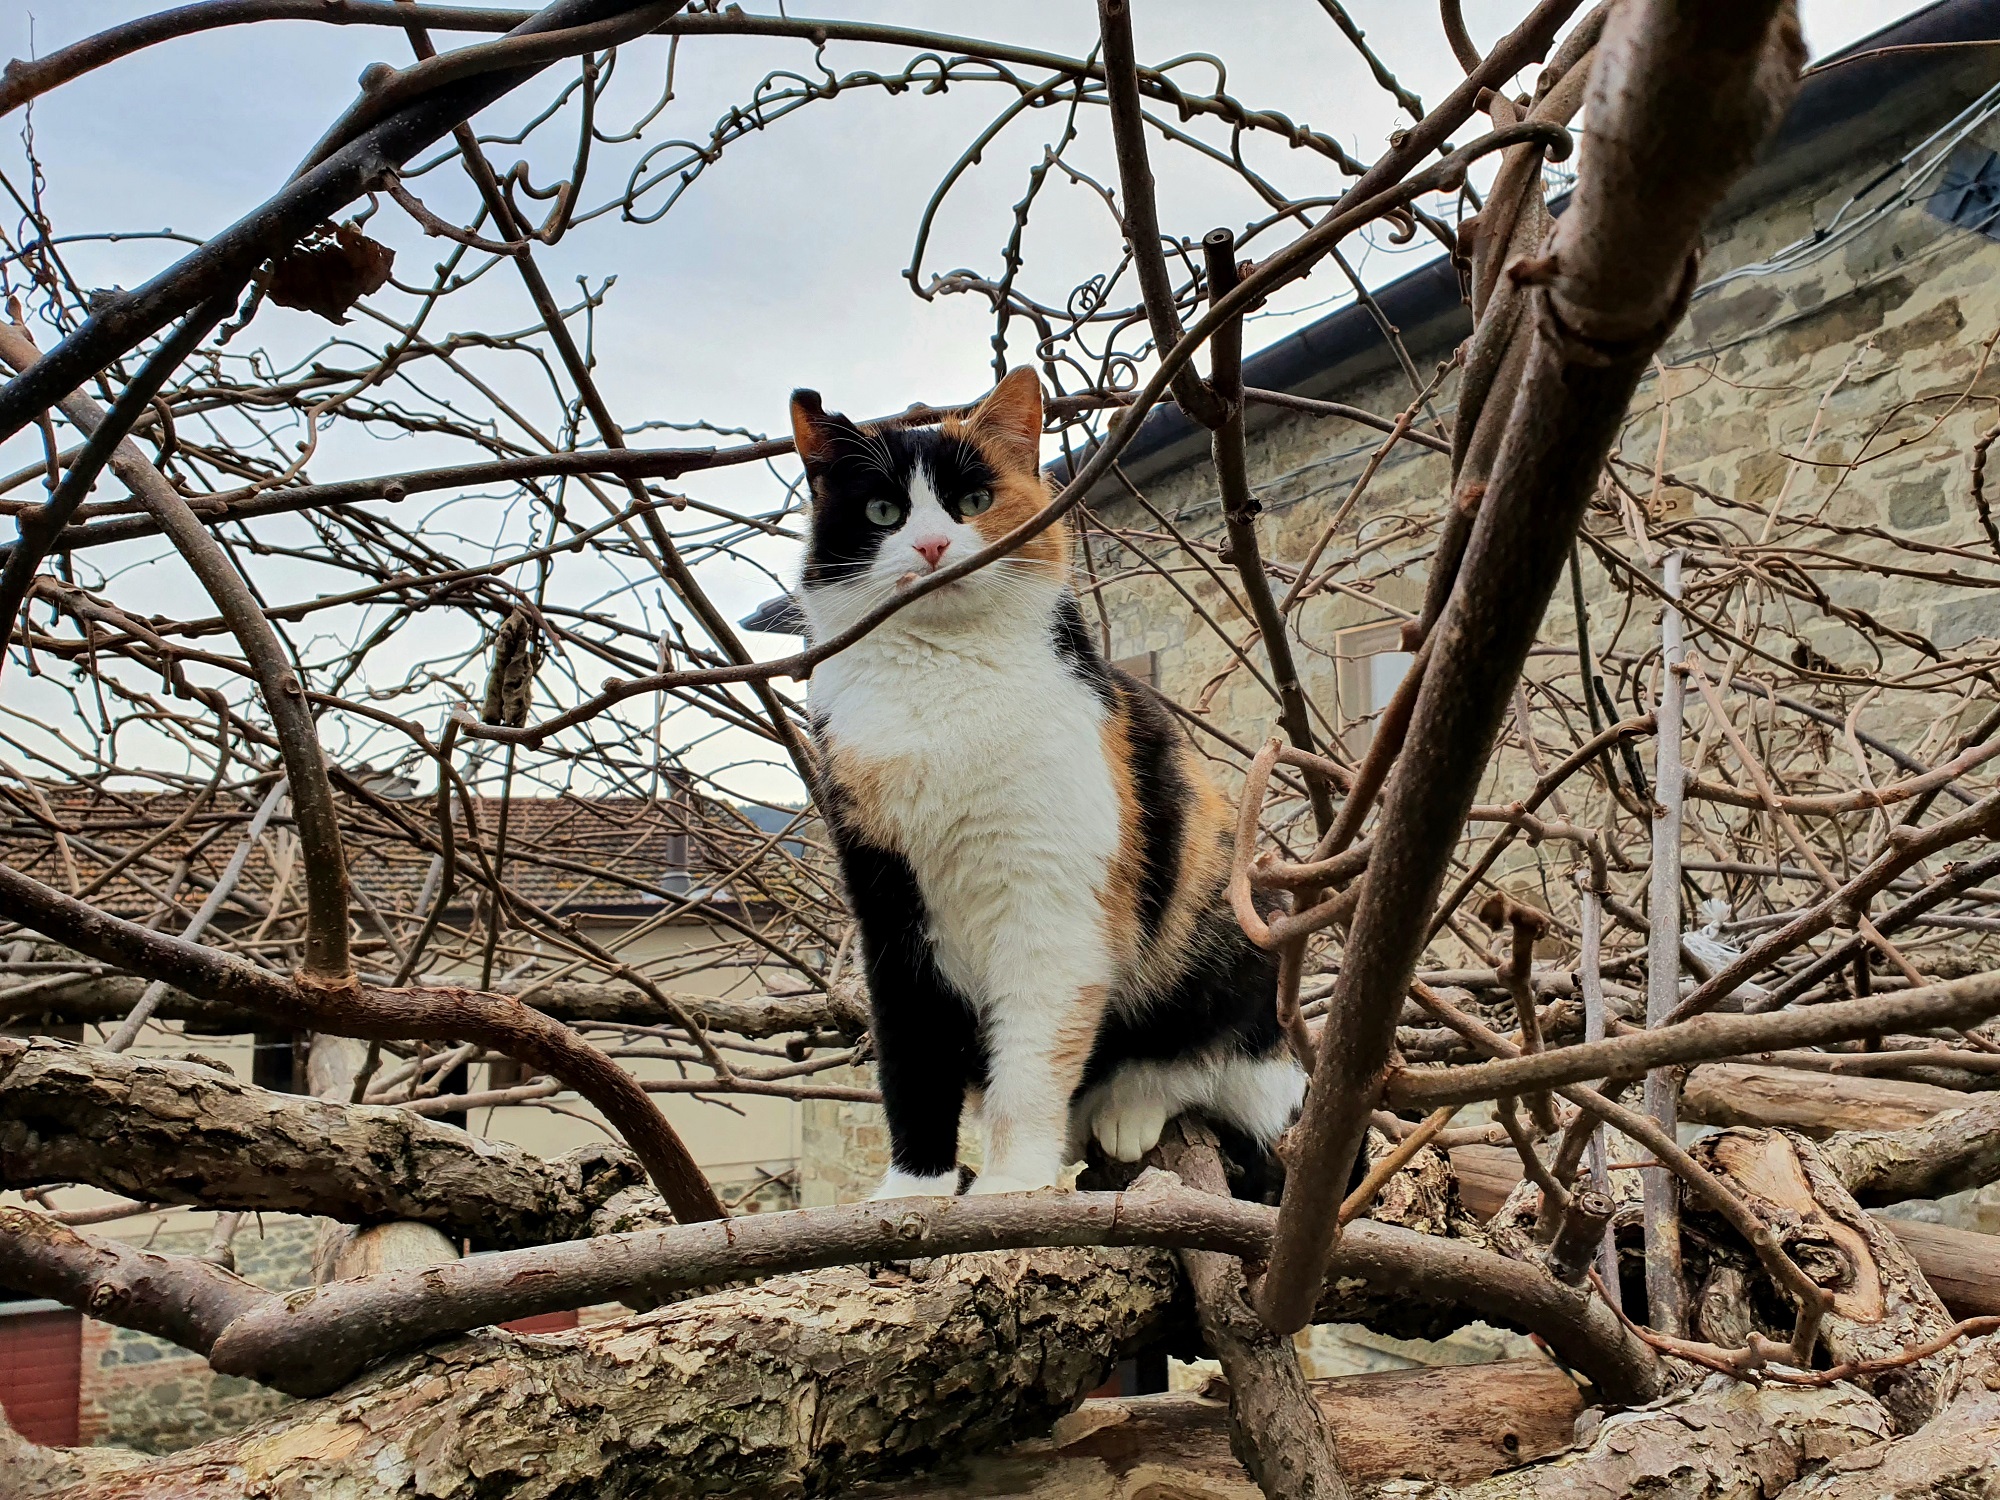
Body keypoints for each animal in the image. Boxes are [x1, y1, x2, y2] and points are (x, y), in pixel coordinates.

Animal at [788, 370, 1304, 1208]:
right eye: (881, 512)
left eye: (974, 500)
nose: (932, 546)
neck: (944, 680)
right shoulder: (888, 905)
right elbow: (911, 1054)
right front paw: (913, 1190)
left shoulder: (1049, 905)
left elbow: (1032, 1060)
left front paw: (1011, 1185)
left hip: (1236, 924)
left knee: (1213, 1066)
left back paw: (1128, 1107)